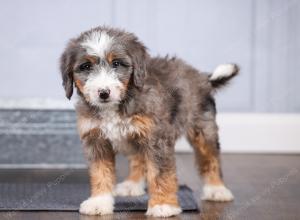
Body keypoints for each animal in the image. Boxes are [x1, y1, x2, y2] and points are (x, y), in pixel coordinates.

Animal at [59, 26, 239, 217]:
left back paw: (217, 189)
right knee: (139, 159)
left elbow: (160, 173)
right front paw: (99, 202)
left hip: (203, 128)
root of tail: (202, 77)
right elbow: (100, 172)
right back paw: (132, 184)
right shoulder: (96, 139)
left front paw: (163, 205)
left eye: (116, 63)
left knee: (210, 157)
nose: (103, 93)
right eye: (86, 66)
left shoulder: (156, 138)